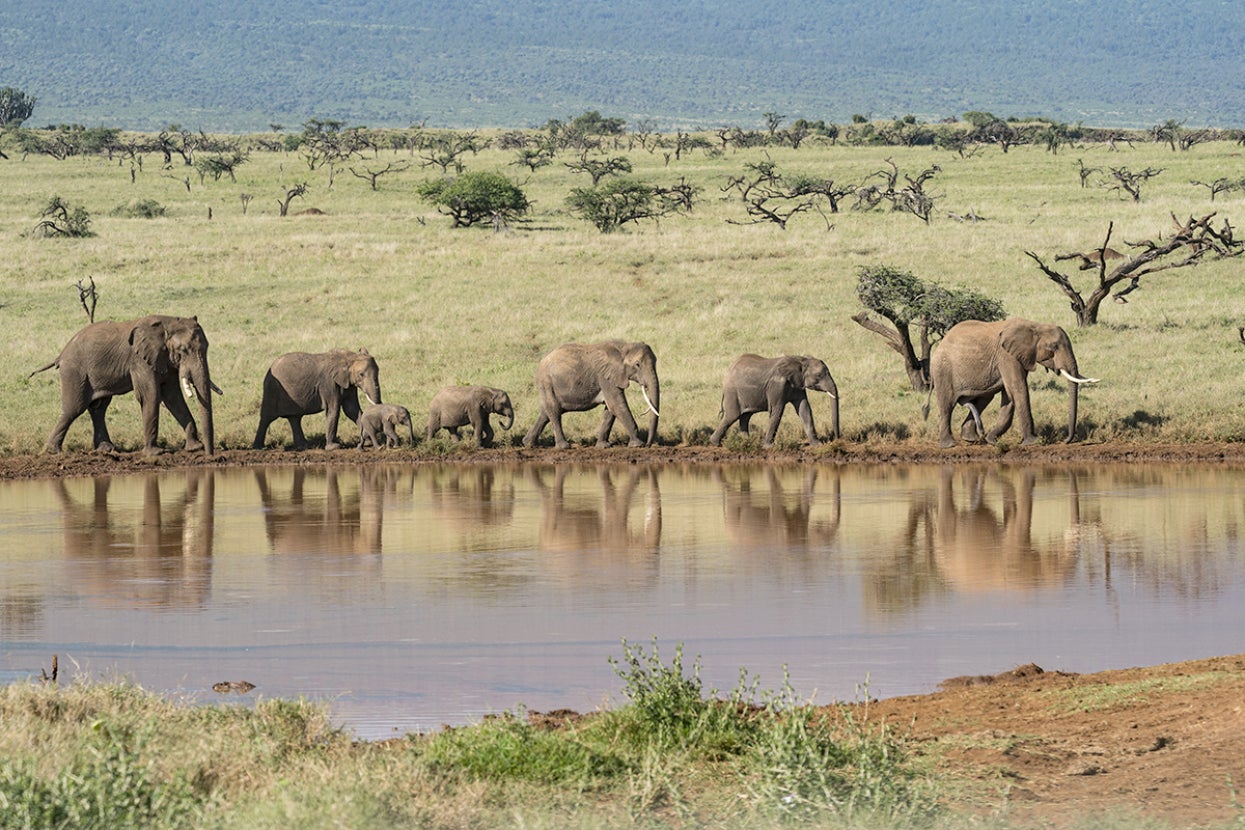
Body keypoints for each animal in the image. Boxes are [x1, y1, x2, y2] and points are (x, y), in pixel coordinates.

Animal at [31, 315, 219, 455]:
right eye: (184, 350)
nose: (209, 455)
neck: (169, 322)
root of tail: (61, 354)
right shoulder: (140, 360)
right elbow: (151, 395)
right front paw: (156, 453)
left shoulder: (165, 359)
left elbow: (173, 397)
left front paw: (194, 448)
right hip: (74, 371)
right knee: (74, 408)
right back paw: (53, 452)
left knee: (99, 408)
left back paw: (106, 449)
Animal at [252, 349, 381, 450]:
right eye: (361, 374)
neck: (350, 356)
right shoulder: (328, 384)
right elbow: (333, 410)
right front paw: (334, 447)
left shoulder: (348, 384)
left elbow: (352, 410)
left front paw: (368, 443)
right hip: (271, 389)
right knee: (267, 418)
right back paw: (259, 448)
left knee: (294, 418)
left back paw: (303, 446)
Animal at [522, 340, 660, 449]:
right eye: (637, 364)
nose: (649, 444)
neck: (623, 347)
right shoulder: (605, 377)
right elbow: (617, 405)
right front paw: (637, 445)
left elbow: (610, 409)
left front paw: (603, 446)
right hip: (546, 382)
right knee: (554, 410)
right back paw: (564, 447)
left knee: (546, 412)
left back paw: (528, 444)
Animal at [709, 354, 839, 447]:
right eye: (818, 376)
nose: (837, 439)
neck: (801, 360)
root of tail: (728, 370)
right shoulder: (777, 385)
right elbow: (777, 410)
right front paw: (769, 447)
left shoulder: (798, 385)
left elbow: (804, 409)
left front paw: (818, 445)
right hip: (732, 392)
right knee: (733, 415)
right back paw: (715, 443)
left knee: (745, 416)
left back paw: (747, 442)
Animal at [927, 318, 1098, 448]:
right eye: (1053, 347)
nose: (1066, 441)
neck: (1035, 326)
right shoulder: (1007, 356)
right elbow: (1018, 389)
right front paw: (1034, 442)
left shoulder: (1021, 357)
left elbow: (1009, 395)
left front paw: (992, 440)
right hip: (943, 371)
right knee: (947, 405)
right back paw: (949, 445)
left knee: (983, 399)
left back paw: (971, 439)